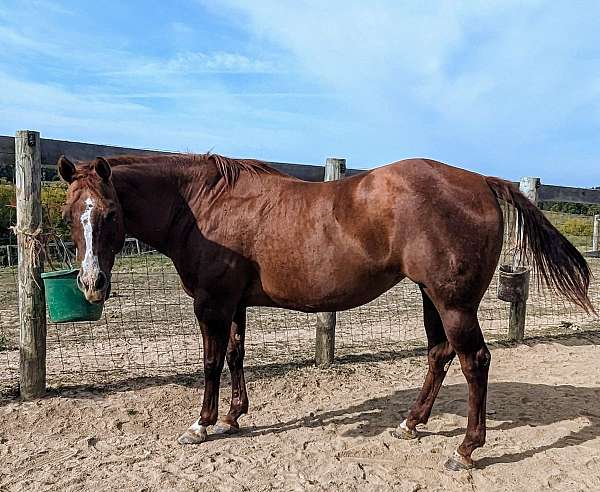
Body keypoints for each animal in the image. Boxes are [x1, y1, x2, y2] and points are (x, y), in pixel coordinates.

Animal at [57, 153, 596, 468]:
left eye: (109, 213)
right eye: (69, 213)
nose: (91, 284)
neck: (204, 205)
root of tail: (481, 181)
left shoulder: (211, 303)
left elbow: (210, 363)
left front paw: (202, 425)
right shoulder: (233, 304)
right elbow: (235, 355)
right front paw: (233, 416)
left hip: (454, 302)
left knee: (474, 361)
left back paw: (465, 450)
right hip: (431, 296)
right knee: (440, 355)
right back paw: (411, 423)